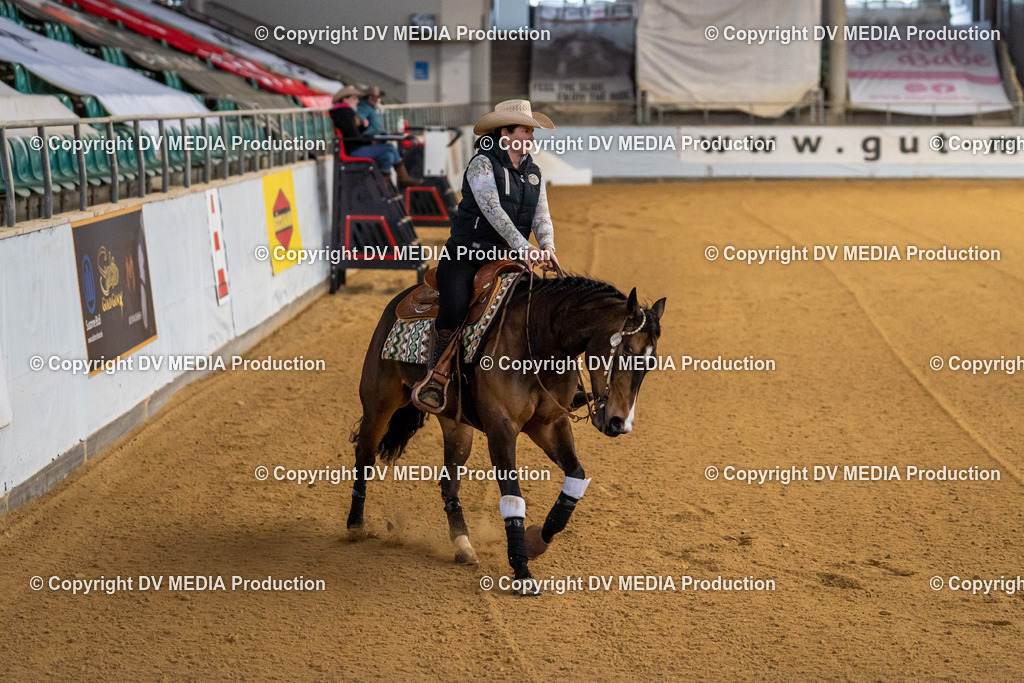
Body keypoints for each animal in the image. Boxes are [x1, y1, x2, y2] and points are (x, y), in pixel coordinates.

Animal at [346, 270, 663, 593]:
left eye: (650, 363)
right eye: (625, 352)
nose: (620, 423)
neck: (537, 340)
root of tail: (401, 297)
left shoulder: (549, 425)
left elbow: (575, 477)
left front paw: (537, 542)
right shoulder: (501, 428)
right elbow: (513, 496)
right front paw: (522, 572)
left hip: (457, 425)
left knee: (449, 483)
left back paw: (463, 546)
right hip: (379, 402)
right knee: (365, 455)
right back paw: (355, 526)